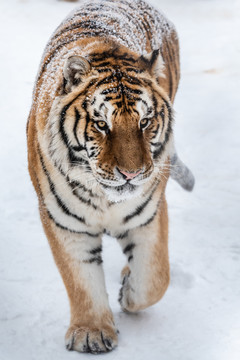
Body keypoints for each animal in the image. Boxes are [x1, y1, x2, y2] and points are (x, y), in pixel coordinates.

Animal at [27, 0, 194, 354]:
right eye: (102, 124)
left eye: (144, 122)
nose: (131, 173)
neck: (105, 199)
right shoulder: (65, 222)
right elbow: (81, 280)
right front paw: (90, 333)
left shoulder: (148, 215)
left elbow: (154, 277)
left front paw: (128, 293)